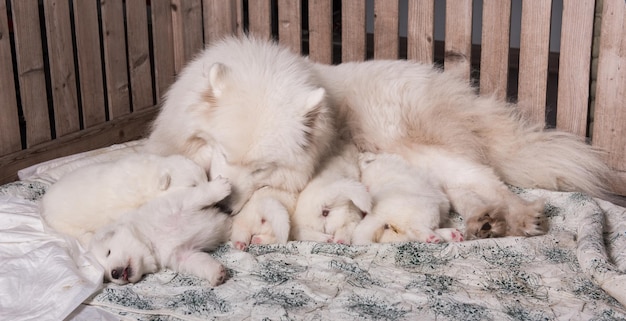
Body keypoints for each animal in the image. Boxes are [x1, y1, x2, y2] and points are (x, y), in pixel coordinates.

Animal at [89, 176, 233, 284]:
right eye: (107, 277)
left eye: (108, 252)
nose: (114, 274)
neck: (151, 240)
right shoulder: (181, 256)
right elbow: (199, 262)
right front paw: (216, 273)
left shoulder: (178, 204)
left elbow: (199, 195)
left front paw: (220, 187)